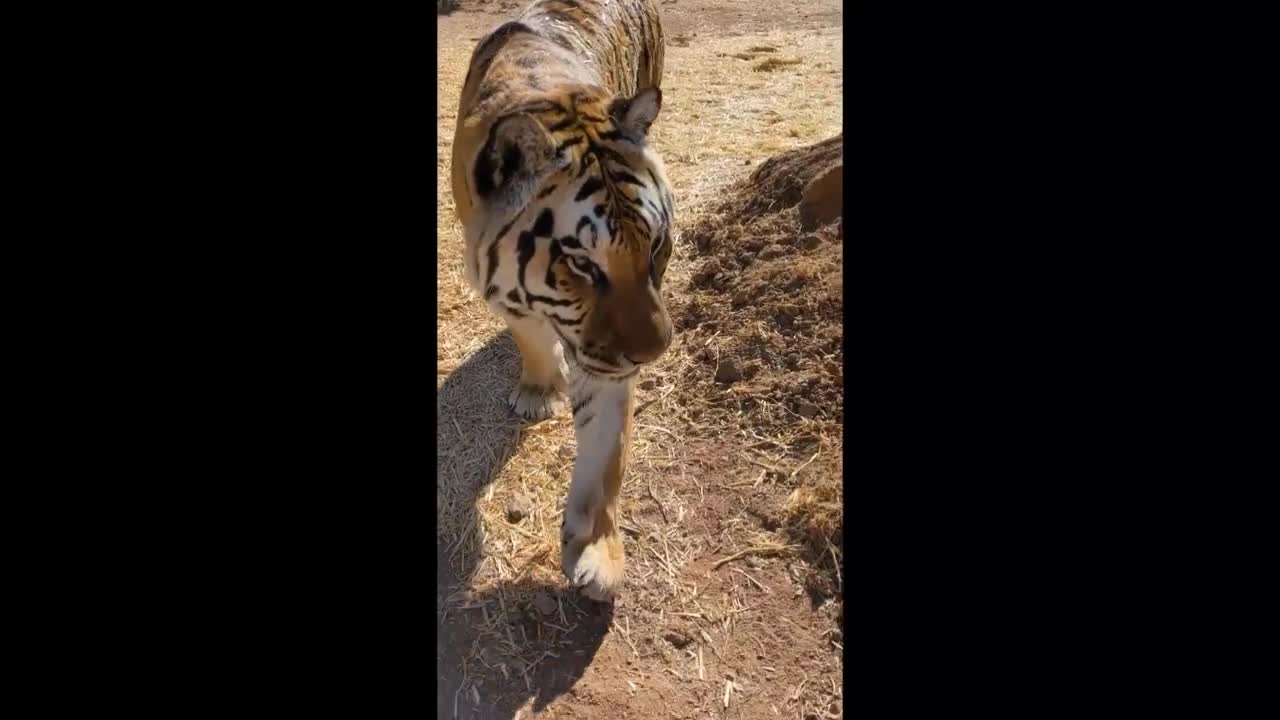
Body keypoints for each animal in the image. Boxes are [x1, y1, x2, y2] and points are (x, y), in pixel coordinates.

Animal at [448, 0, 670, 599]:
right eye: (582, 265)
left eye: (655, 246)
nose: (654, 353)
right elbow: (530, 337)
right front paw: (538, 390)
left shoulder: (605, 358)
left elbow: (605, 452)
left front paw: (597, 551)